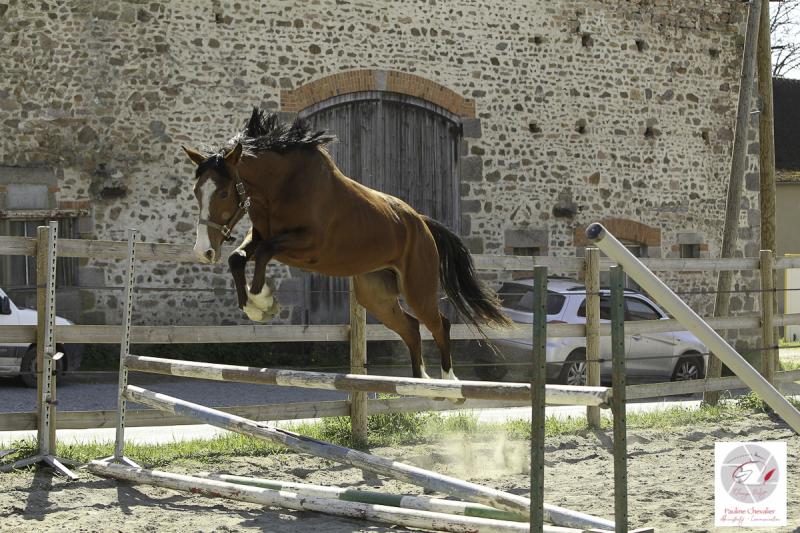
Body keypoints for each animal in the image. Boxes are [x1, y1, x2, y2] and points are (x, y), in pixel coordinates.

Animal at [182, 108, 511, 381]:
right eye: (196, 191)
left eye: (223, 193)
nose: (203, 251)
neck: (282, 187)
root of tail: (421, 222)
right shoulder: (262, 236)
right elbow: (237, 258)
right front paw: (255, 308)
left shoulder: (309, 246)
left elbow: (262, 253)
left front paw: (262, 300)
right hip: (375, 294)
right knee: (411, 328)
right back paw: (419, 382)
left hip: (417, 288)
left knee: (439, 323)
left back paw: (448, 383)